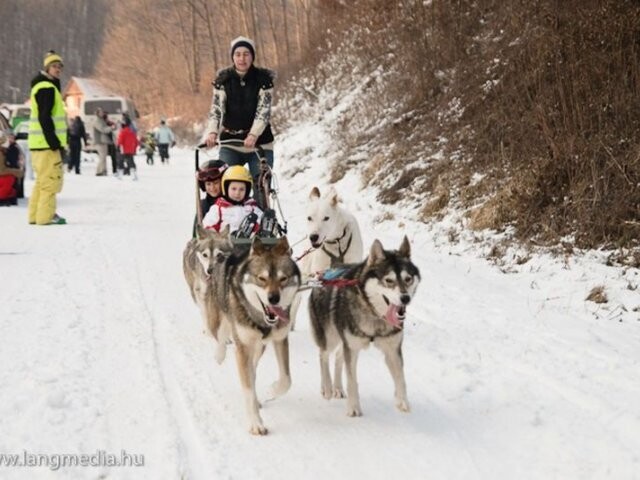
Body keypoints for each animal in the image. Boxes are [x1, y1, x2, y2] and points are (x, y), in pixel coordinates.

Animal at [308, 236, 420, 416]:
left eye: (408, 279)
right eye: (388, 280)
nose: (405, 298)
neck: (374, 313)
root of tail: (325, 273)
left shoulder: (392, 350)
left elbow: (401, 378)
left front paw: (402, 402)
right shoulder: (352, 348)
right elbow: (352, 380)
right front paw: (353, 407)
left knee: (338, 357)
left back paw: (337, 388)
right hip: (330, 337)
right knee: (323, 355)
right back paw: (327, 387)